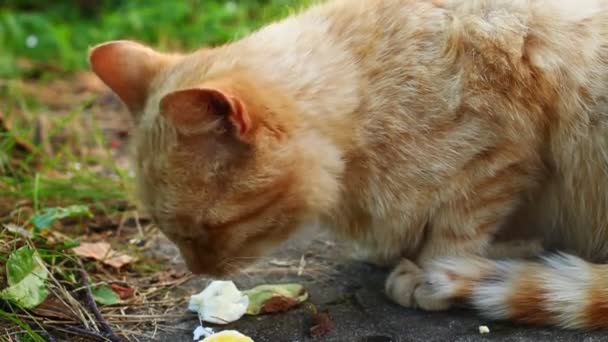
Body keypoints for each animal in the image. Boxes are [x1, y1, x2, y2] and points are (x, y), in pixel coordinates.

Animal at [89, 0, 608, 330]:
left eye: (204, 230)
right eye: (170, 233)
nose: (198, 270)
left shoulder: (500, 156)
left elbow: (459, 228)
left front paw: (435, 271)